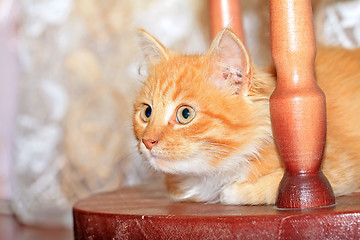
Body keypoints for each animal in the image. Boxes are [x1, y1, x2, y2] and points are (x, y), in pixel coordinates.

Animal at [133, 28, 360, 204]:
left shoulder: (336, 165)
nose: (147, 141)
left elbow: (280, 187)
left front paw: (234, 191)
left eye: (185, 114)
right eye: (147, 112)